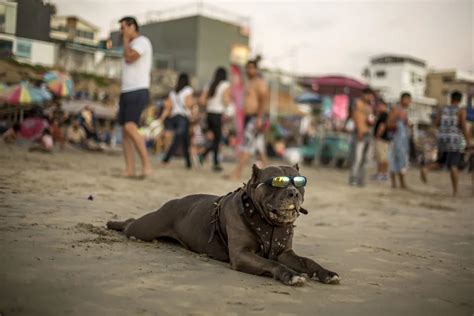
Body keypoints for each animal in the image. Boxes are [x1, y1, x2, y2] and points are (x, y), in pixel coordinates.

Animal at [107, 164, 338, 286]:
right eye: (277, 182)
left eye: (299, 182)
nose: (294, 193)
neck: (269, 223)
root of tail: (174, 201)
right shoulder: (241, 254)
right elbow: (271, 264)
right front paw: (290, 275)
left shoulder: (285, 253)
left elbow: (307, 261)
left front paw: (326, 273)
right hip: (145, 228)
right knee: (130, 224)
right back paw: (113, 223)